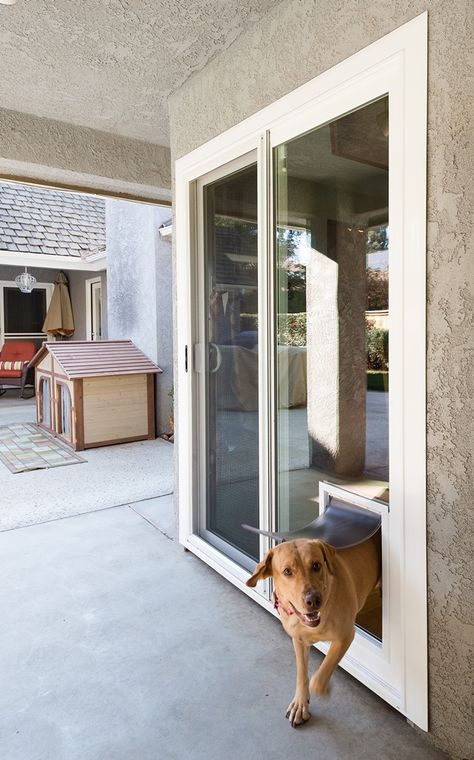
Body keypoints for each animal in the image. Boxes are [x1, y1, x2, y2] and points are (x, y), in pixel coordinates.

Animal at [246, 536, 380, 724]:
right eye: (287, 571)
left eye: (316, 565)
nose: (313, 600)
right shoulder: (298, 640)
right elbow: (302, 674)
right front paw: (300, 704)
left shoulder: (345, 636)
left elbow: (321, 674)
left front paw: (322, 687)